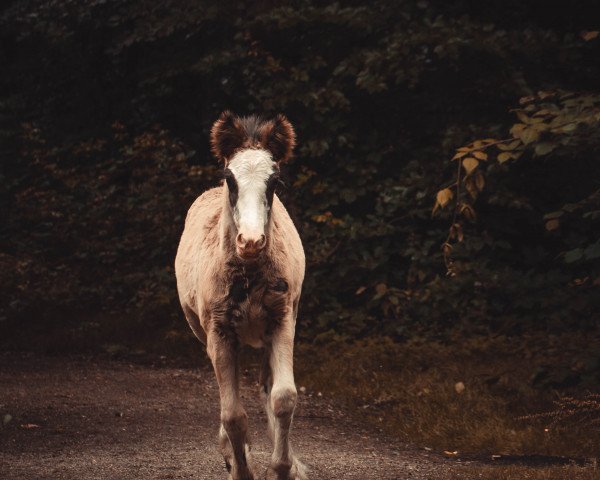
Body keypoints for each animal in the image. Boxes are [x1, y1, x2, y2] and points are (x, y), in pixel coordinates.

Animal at [172, 110, 304, 478]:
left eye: (275, 183)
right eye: (229, 179)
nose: (251, 241)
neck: (249, 275)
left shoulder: (282, 321)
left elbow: (283, 397)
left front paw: (285, 467)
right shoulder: (219, 332)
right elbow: (232, 414)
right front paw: (240, 466)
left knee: (266, 385)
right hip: (205, 332)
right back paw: (230, 453)